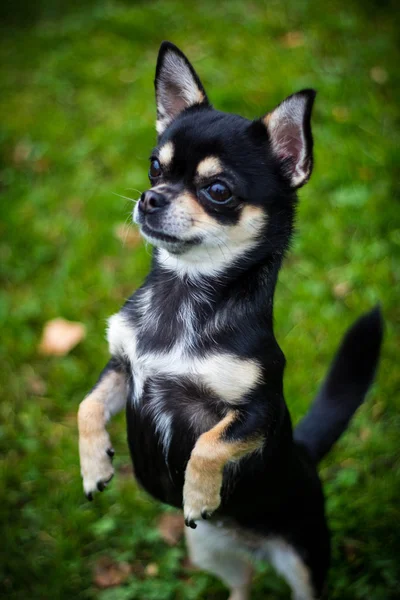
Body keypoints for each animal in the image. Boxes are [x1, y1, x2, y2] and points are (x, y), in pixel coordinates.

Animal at [77, 43, 382, 600]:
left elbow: (209, 445)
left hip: (305, 559)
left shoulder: (258, 413)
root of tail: (305, 455)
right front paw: (95, 466)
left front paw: (197, 495)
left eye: (218, 190)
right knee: (241, 585)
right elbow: (87, 407)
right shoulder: (124, 369)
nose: (149, 198)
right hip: (211, 552)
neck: (183, 294)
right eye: (154, 168)